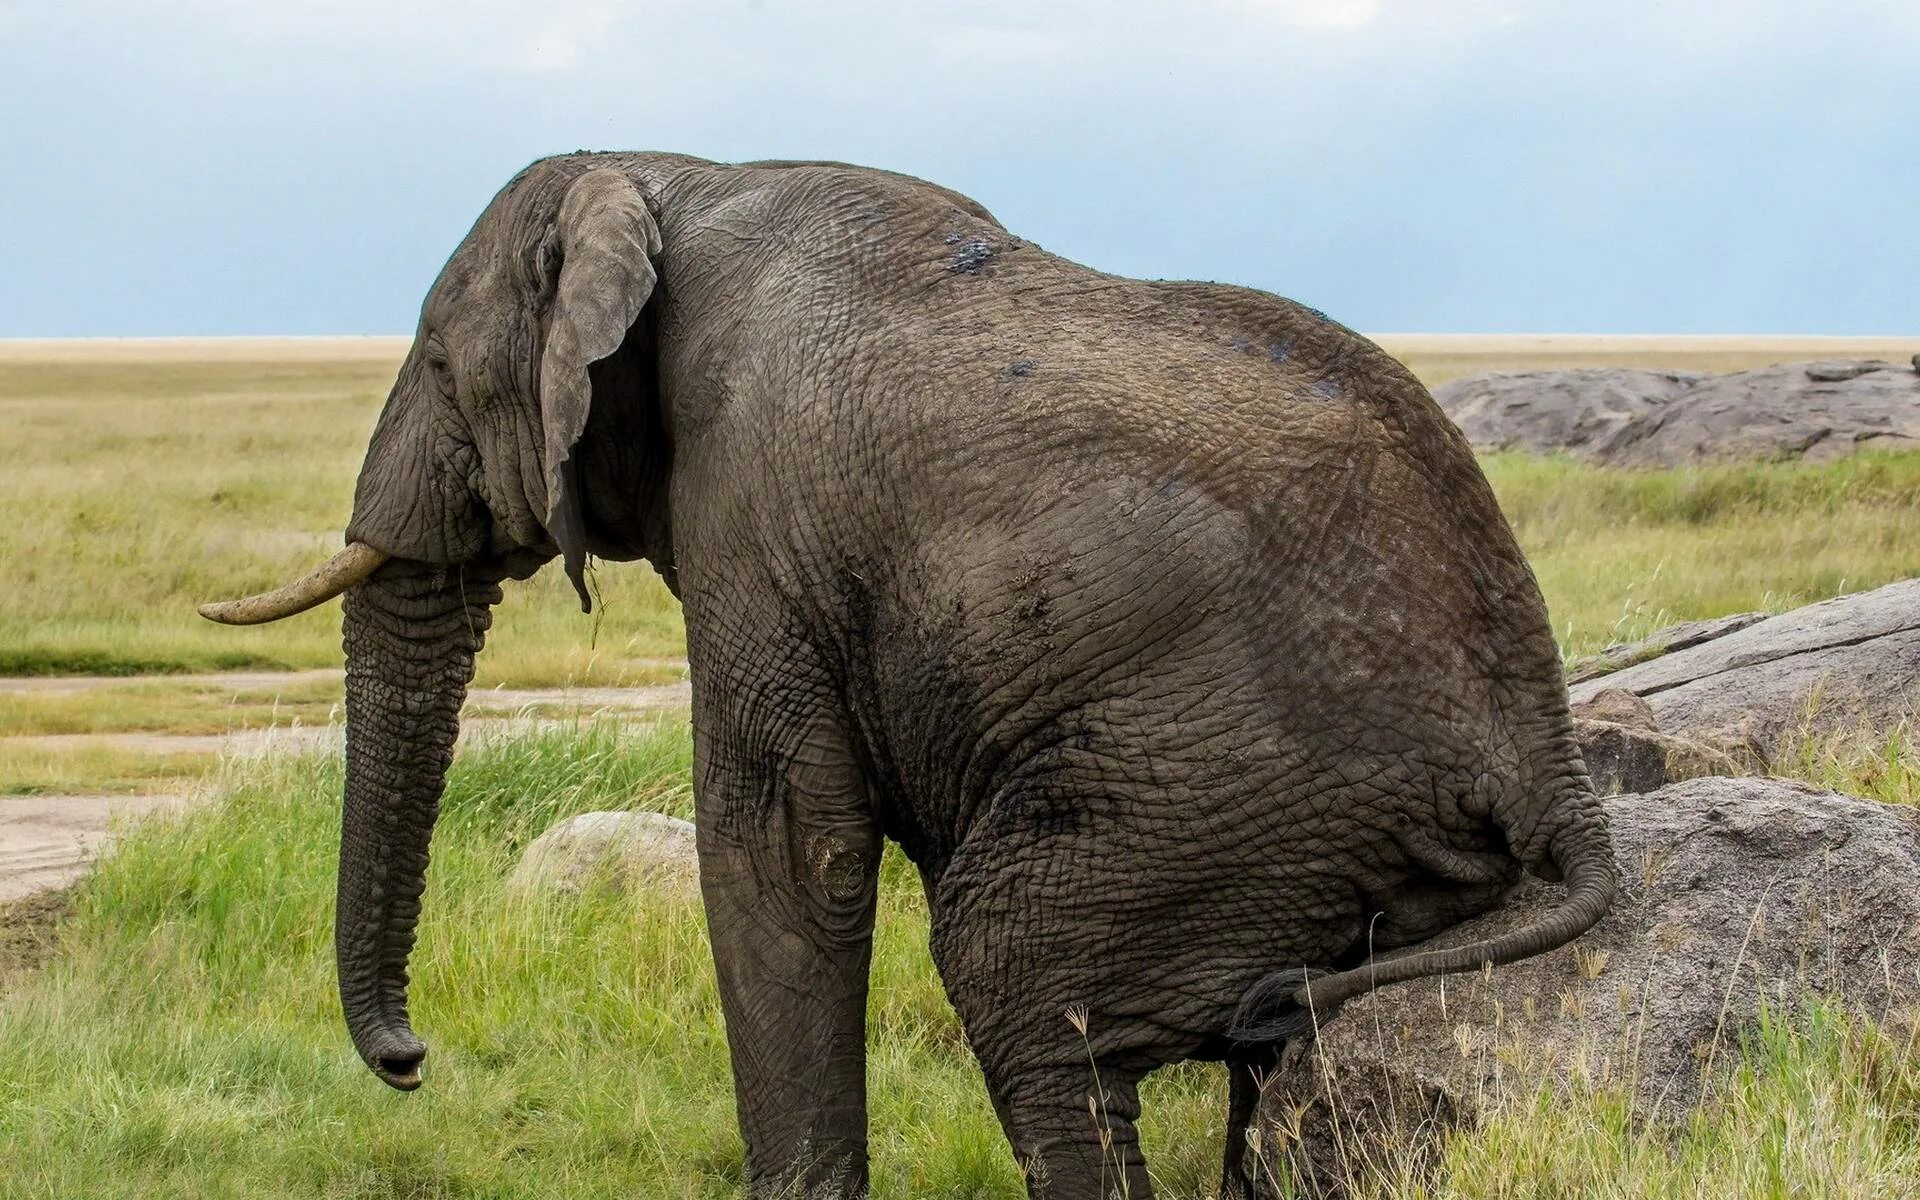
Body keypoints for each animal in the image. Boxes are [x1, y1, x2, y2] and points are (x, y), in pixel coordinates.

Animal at [206, 151, 1620, 1198]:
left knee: (1012, 962)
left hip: (1231, 784)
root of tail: (1553, 759)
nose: (410, 1061)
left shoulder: (754, 504)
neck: (670, 177)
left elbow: (783, 840)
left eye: (444, 371)